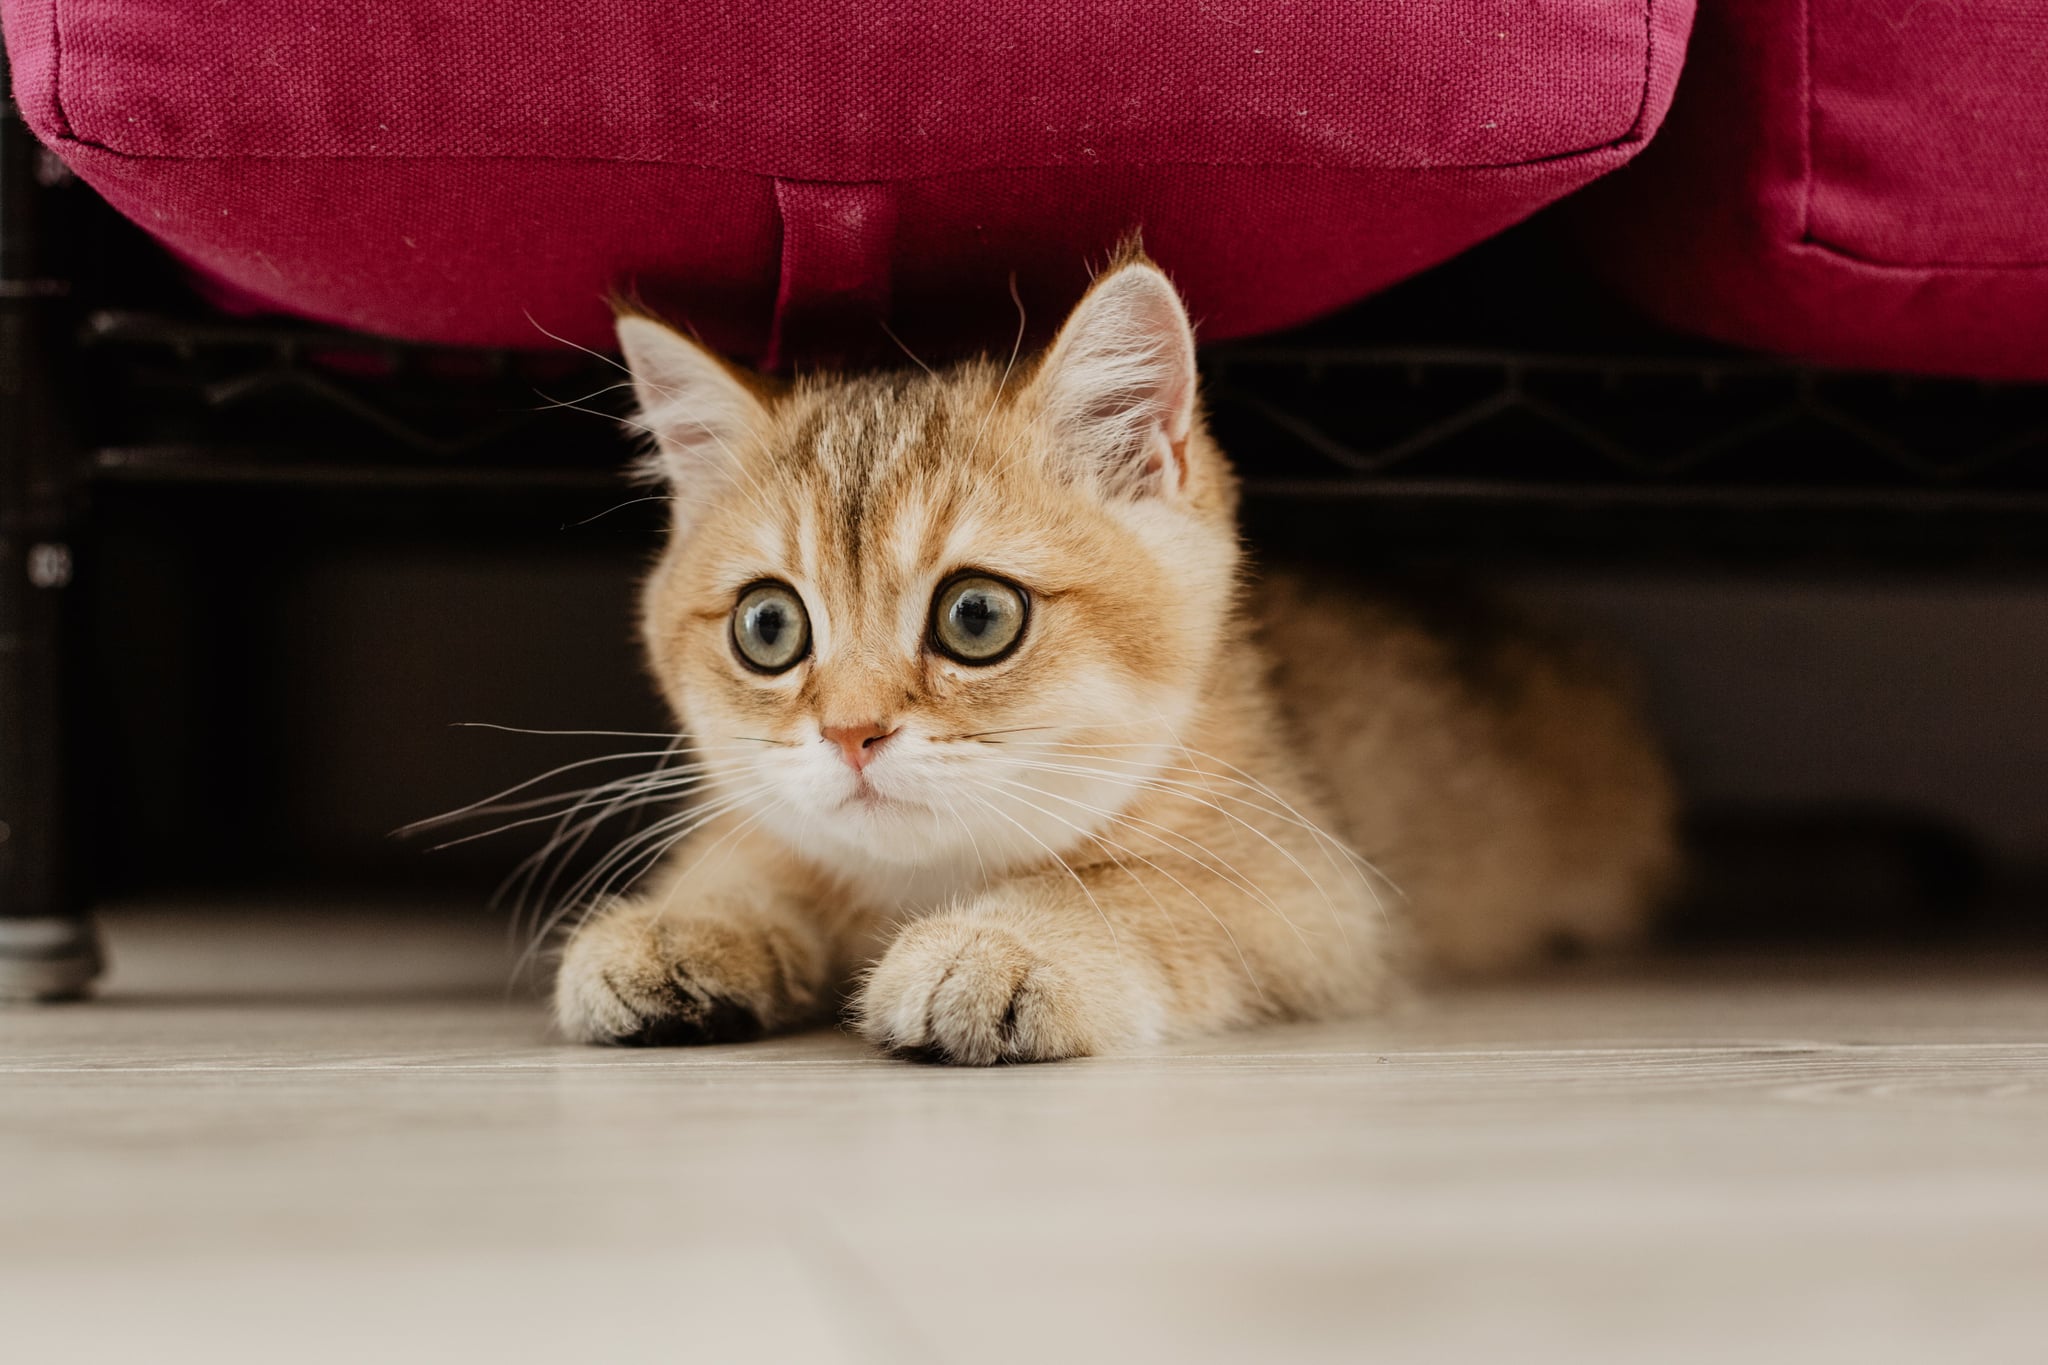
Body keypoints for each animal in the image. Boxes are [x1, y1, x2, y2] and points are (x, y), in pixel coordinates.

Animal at [552, 255, 1671, 1064]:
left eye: (976, 615)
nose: (850, 732)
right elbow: (759, 857)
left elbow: (1139, 889)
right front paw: (685, 924)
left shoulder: (1318, 899)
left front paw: (1006, 942)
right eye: (768, 628)